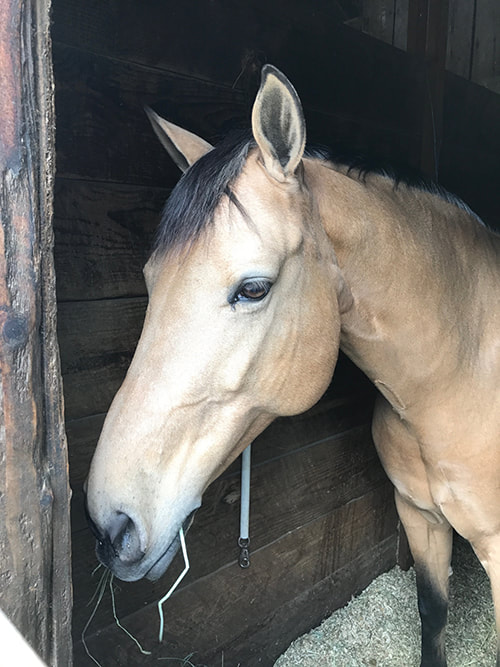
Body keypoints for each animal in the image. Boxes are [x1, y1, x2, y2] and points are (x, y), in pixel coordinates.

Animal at [85, 65, 500, 666]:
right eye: (149, 279)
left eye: (253, 289)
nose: (113, 527)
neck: (453, 382)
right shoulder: (419, 517)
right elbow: (433, 616)